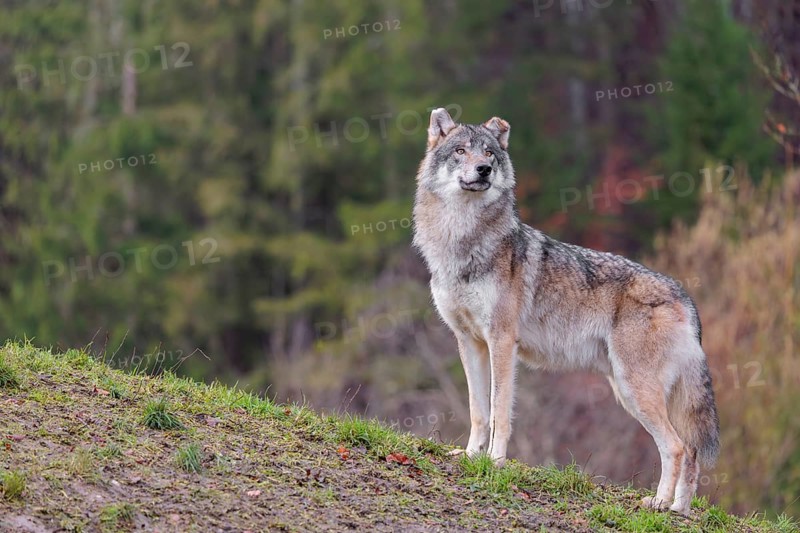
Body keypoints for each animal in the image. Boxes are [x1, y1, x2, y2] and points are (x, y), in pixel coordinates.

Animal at [412, 108, 720, 515]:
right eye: (461, 150)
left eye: (489, 153)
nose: (483, 170)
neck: (463, 242)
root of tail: (684, 296)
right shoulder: (469, 341)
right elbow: (478, 409)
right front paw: (470, 455)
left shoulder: (502, 341)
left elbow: (499, 410)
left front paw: (495, 462)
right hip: (631, 392)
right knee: (691, 451)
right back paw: (677, 510)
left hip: (636, 390)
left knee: (678, 446)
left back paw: (657, 503)